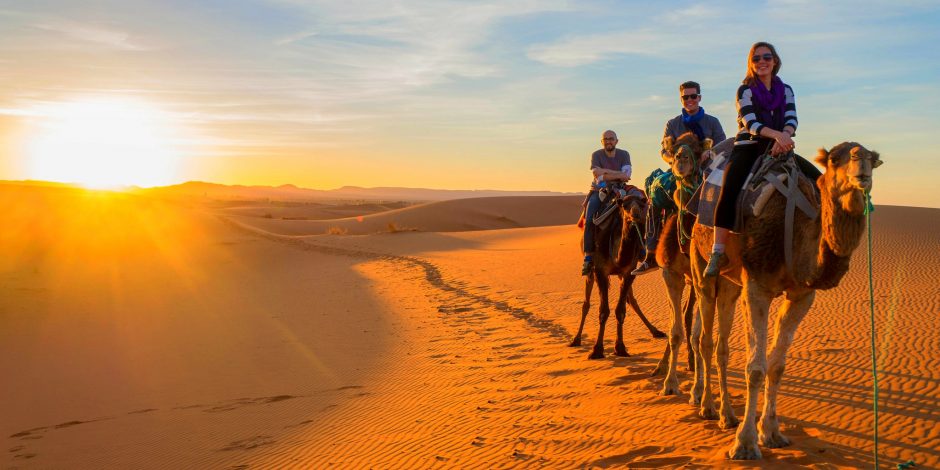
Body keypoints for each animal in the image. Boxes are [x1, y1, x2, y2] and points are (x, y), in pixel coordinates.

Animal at [568, 183, 664, 356]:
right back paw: (576, 339)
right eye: (624, 206)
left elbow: (621, 310)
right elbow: (603, 310)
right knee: (586, 304)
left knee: (631, 301)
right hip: (590, 270)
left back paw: (656, 331)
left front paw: (620, 348)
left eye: (642, 204)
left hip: (620, 275)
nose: (636, 215)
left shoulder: (628, 272)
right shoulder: (600, 271)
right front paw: (597, 350)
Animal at [688, 142, 884, 458]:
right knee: (705, 339)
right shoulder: (756, 286)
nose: (860, 166)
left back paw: (727, 415)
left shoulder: (802, 295)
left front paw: (771, 433)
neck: (793, 234)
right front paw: (745, 444)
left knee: (721, 346)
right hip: (700, 262)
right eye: (834, 158)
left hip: (730, 284)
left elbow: (777, 366)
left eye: (873, 158)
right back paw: (708, 407)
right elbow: (755, 368)